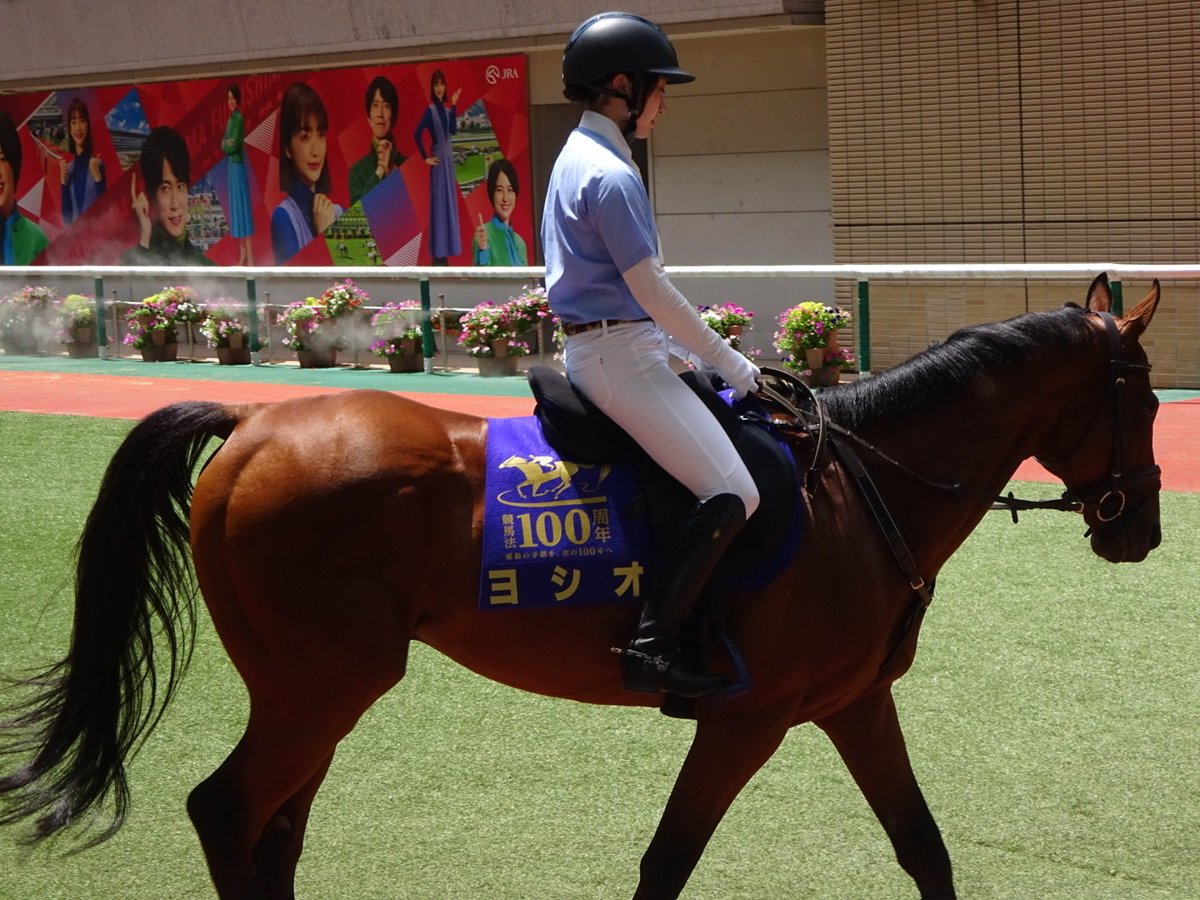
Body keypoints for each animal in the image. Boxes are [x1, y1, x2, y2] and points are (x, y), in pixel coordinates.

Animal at [0, 274, 1162, 899]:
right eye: (1146, 402)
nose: (1141, 529)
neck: (859, 489)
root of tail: (251, 423)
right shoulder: (746, 721)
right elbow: (664, 865)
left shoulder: (855, 705)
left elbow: (924, 849)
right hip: (321, 685)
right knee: (230, 810)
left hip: (309, 691)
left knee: (273, 826)